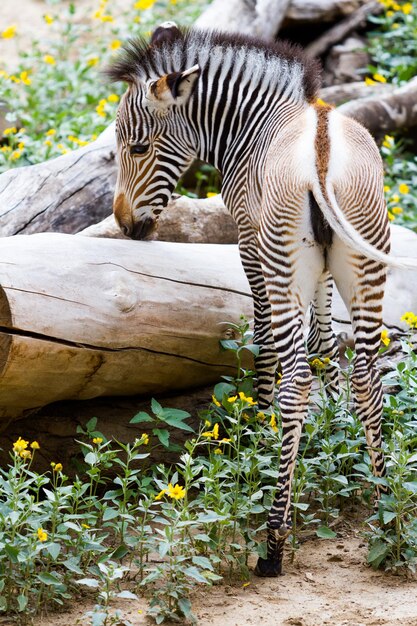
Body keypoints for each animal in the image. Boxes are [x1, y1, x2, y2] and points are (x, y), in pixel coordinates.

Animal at [105, 25, 416, 576]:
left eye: (137, 147)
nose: (123, 224)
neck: (254, 126)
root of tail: (320, 155)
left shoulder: (249, 245)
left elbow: (267, 344)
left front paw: (257, 436)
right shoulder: (324, 269)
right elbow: (323, 341)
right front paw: (332, 438)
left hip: (282, 261)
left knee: (295, 382)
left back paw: (272, 540)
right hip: (364, 259)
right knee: (368, 378)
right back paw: (387, 518)